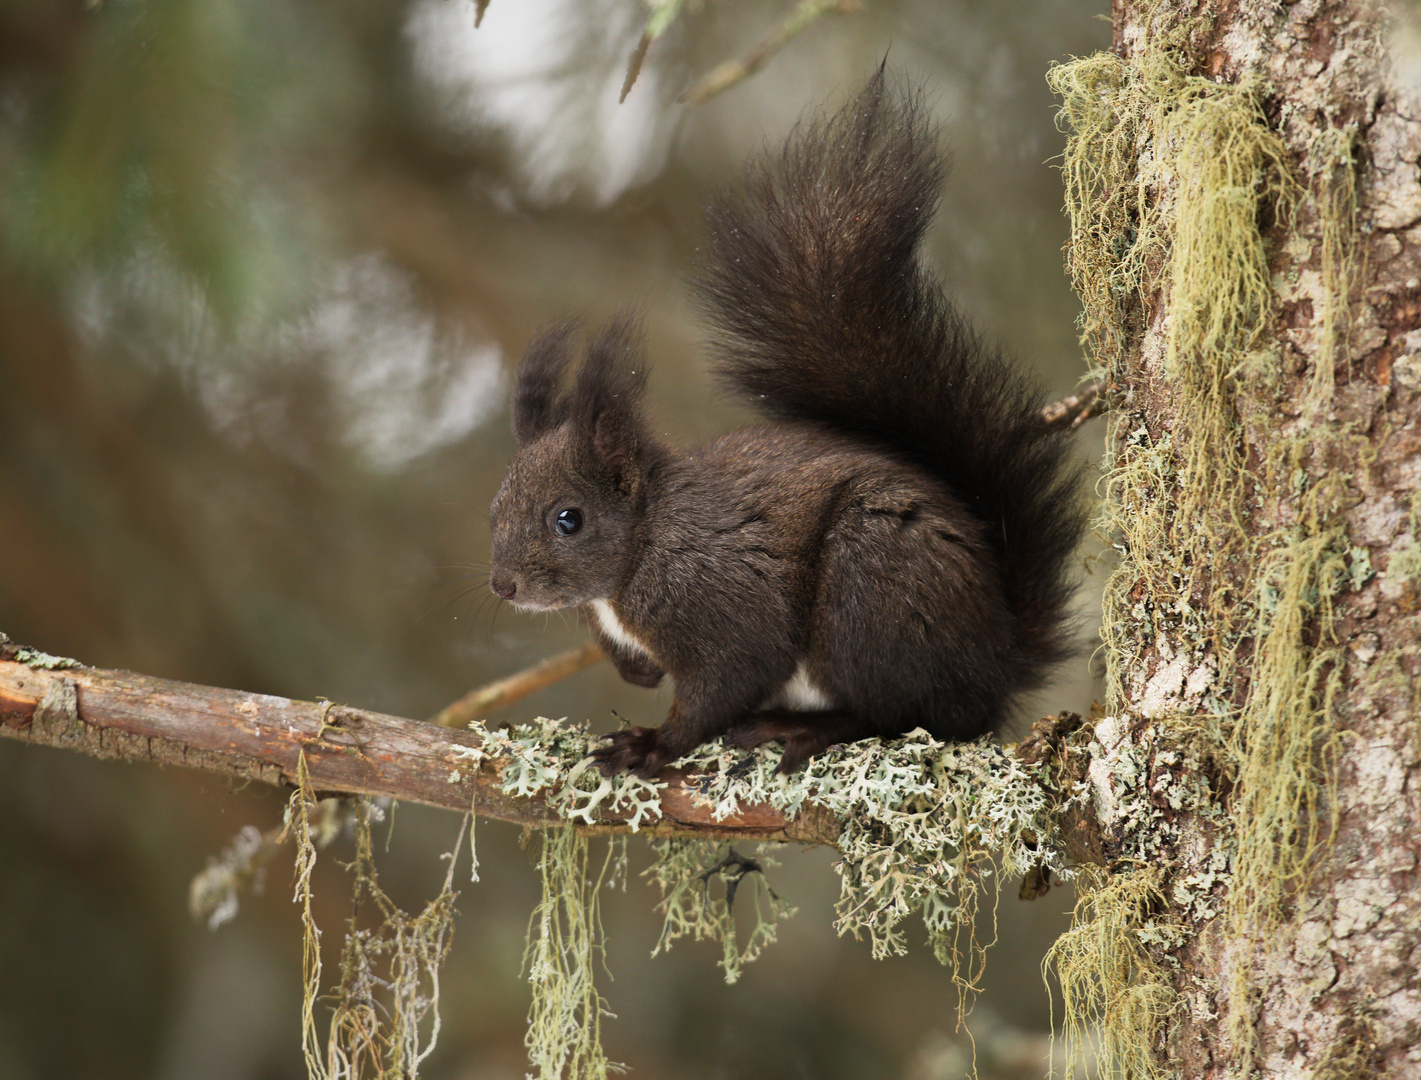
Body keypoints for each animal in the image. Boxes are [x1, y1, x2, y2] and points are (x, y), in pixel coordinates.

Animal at [488, 69, 1085, 778]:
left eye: (568, 519)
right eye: (495, 508)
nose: (502, 586)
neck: (646, 541)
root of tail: (999, 662)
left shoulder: (723, 608)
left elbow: (724, 686)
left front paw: (652, 745)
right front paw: (636, 672)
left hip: (870, 590)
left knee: (906, 715)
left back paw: (802, 728)